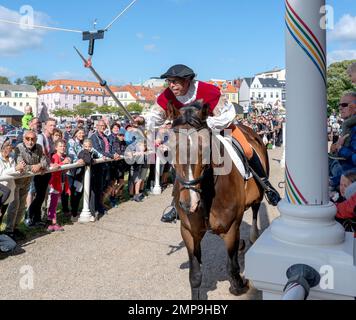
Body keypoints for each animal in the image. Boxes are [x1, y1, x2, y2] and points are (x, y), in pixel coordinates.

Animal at [168, 100, 270, 300]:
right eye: (169, 148)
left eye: (205, 148)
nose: (188, 203)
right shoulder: (188, 232)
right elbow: (195, 275)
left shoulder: (231, 228)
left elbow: (232, 267)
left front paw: (240, 284)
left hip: (258, 195)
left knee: (255, 209)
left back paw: (253, 235)